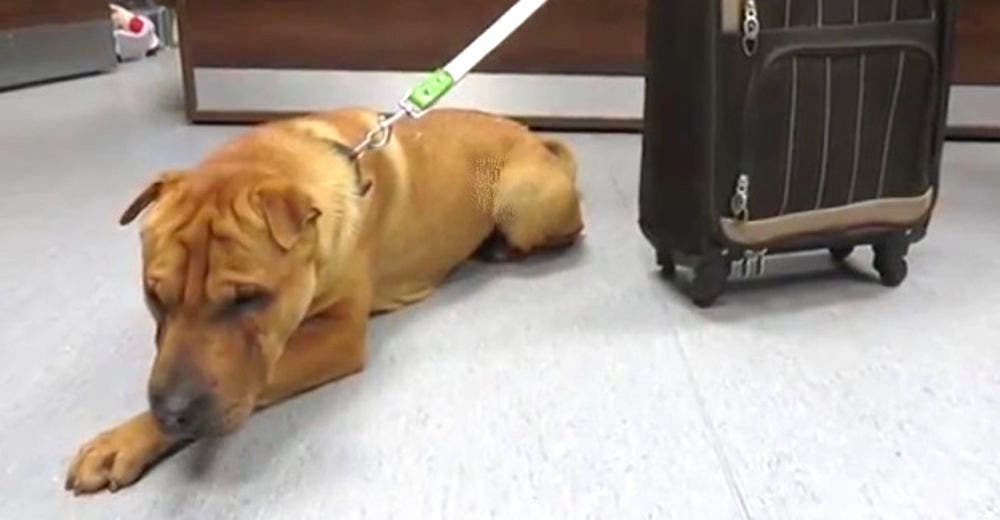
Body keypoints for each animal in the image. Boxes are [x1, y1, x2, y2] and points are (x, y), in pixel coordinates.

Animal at [66, 108, 584, 492]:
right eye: (154, 295)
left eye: (249, 299)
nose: (172, 411)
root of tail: (538, 140)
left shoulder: (336, 336)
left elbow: (257, 381)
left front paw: (128, 438)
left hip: (523, 200)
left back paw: (500, 247)